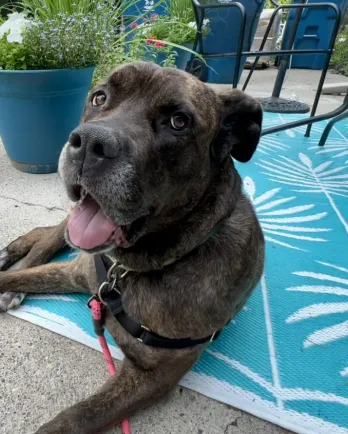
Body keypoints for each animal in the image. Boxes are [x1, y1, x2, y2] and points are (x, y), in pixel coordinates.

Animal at [0, 62, 264, 434]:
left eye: (178, 121)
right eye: (99, 97)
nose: (89, 142)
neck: (130, 268)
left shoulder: (153, 376)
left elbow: (76, 418)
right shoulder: (77, 272)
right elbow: (14, 276)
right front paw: (11, 280)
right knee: (47, 237)